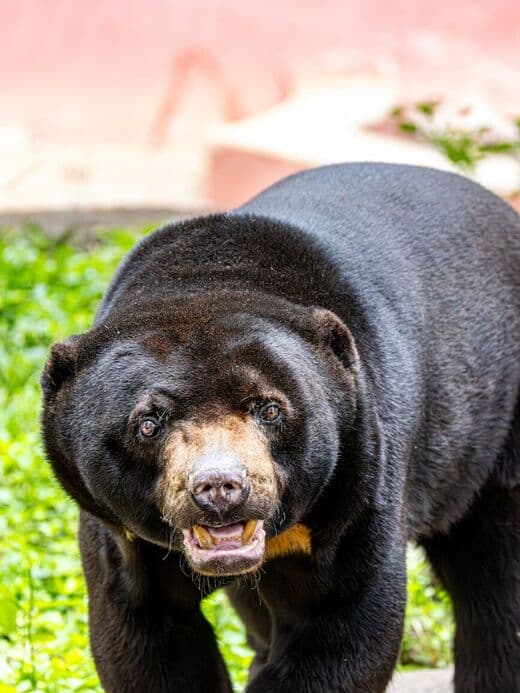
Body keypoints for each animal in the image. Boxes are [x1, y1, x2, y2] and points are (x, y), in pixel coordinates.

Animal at [41, 163, 520, 692]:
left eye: (268, 409)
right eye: (148, 423)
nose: (220, 487)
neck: (212, 278)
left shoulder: (356, 482)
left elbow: (342, 623)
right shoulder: (123, 533)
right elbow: (145, 632)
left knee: (494, 570)